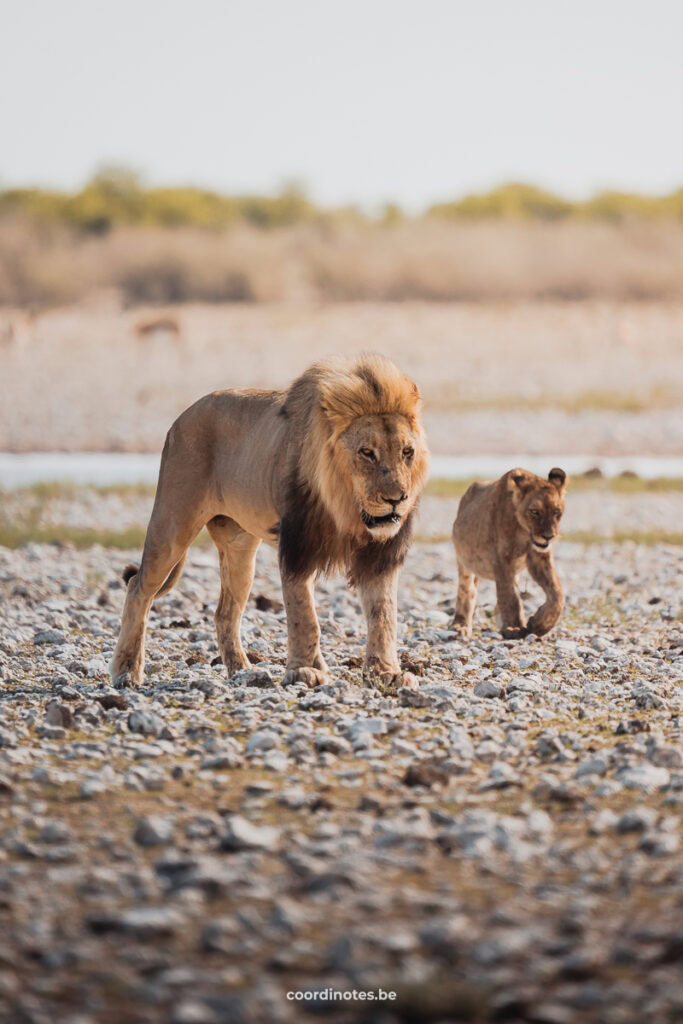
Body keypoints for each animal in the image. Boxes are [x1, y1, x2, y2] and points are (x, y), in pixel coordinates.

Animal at [112, 358, 430, 688]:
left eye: (407, 452)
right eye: (367, 453)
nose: (397, 499)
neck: (346, 510)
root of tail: (181, 417)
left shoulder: (381, 555)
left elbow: (383, 616)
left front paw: (386, 673)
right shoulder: (297, 547)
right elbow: (305, 616)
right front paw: (305, 671)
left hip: (239, 550)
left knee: (224, 613)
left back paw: (242, 671)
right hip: (172, 524)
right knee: (138, 588)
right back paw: (126, 671)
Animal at [454, 466, 565, 638]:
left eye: (556, 512)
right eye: (534, 511)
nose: (548, 536)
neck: (523, 530)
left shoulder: (539, 557)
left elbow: (557, 593)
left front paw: (540, 625)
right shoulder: (501, 559)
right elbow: (510, 596)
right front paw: (514, 627)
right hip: (464, 562)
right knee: (467, 591)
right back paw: (460, 626)